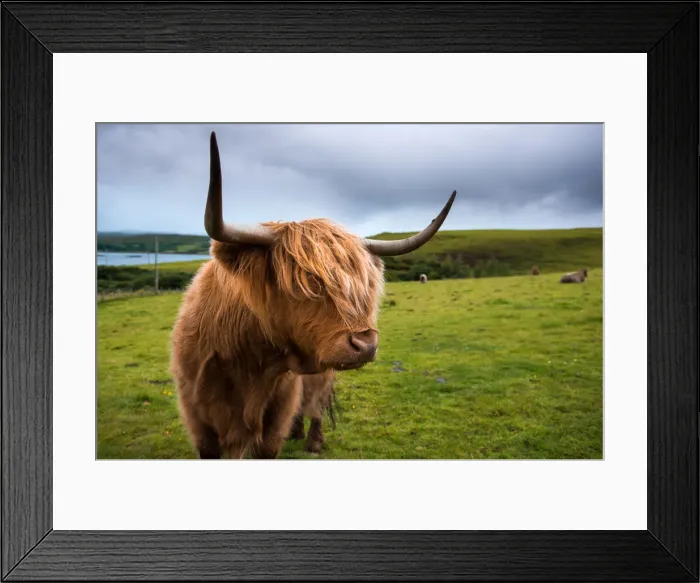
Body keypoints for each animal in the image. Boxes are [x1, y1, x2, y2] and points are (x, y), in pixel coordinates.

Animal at [171, 131, 456, 460]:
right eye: (304, 284)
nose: (366, 345)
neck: (248, 357)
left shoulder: (276, 415)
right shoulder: (198, 418)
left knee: (316, 406)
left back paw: (313, 442)